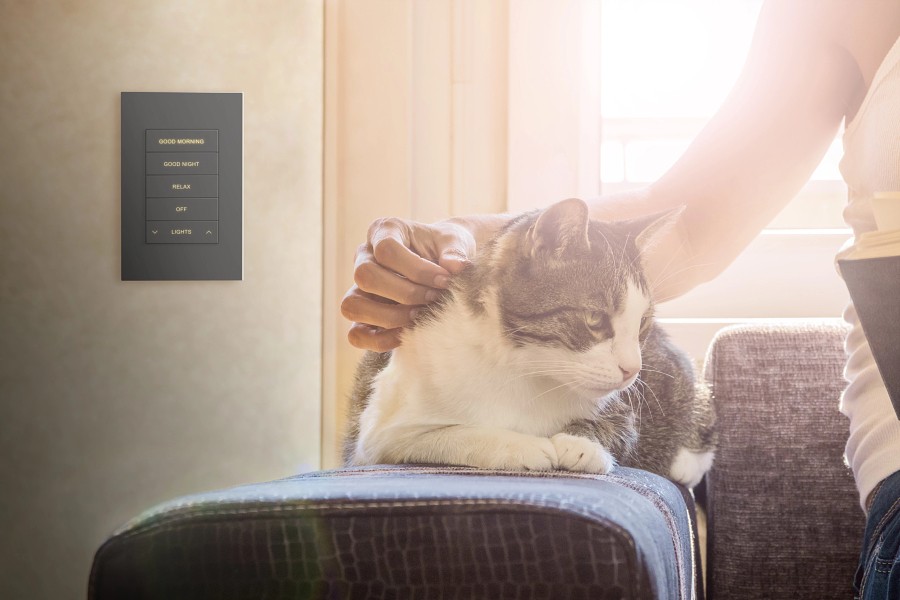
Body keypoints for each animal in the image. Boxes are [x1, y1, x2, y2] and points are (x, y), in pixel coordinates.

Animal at [344, 198, 716, 488]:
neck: (529, 369)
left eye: (642, 323)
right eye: (595, 319)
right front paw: (520, 446)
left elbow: (624, 426)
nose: (632, 370)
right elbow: (448, 435)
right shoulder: (379, 436)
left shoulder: (623, 404)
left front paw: (582, 442)